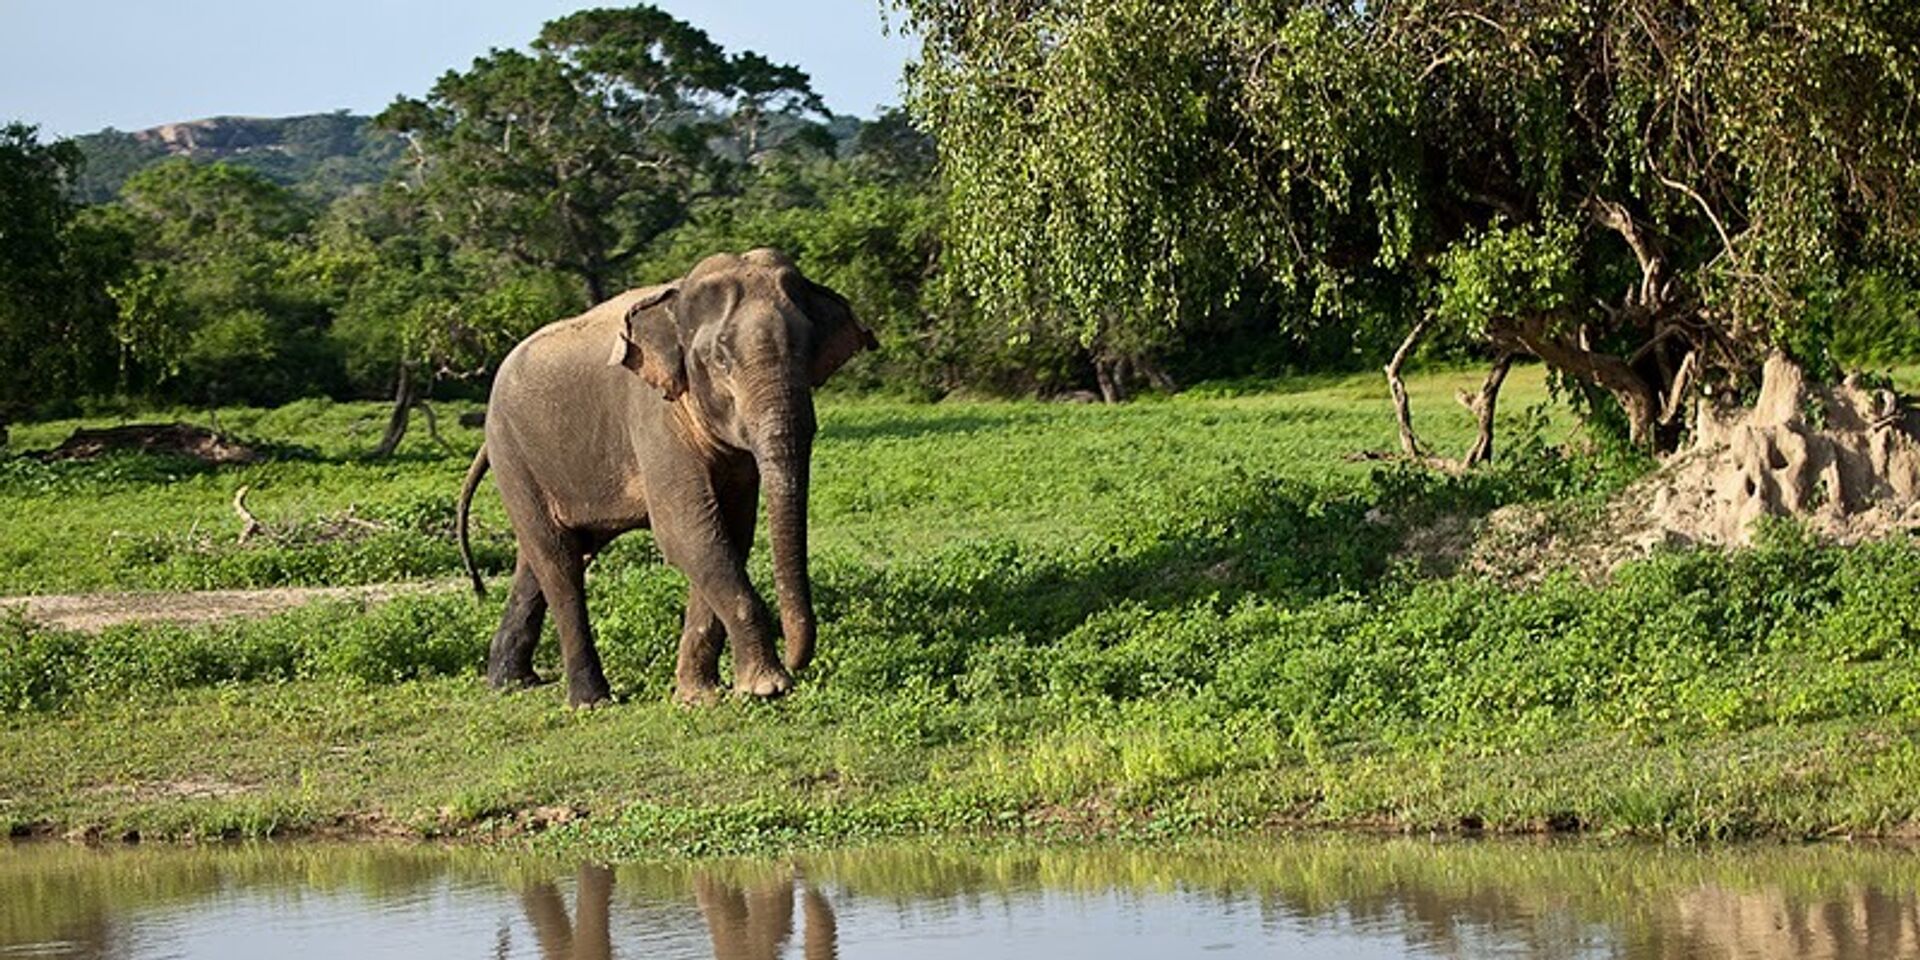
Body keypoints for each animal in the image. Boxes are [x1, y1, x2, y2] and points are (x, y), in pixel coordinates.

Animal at [453, 251, 875, 710]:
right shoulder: (652, 416)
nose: (797, 662)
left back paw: (512, 683)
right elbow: (688, 532)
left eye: (808, 349)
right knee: (558, 561)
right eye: (720, 360)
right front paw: (766, 689)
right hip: (515, 457)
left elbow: (729, 533)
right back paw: (591, 701)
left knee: (538, 562)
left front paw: (699, 696)